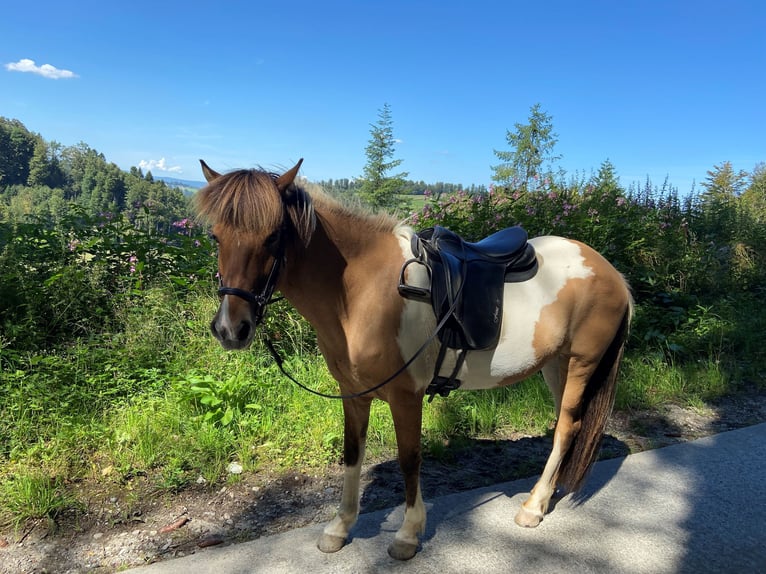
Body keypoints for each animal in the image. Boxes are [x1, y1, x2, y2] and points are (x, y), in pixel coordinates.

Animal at [194, 159, 633, 561]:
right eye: (216, 236)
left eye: (273, 237)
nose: (231, 329)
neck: (361, 288)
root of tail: (612, 273)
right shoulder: (353, 394)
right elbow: (352, 455)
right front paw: (340, 527)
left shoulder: (406, 396)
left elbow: (409, 460)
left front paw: (408, 535)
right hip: (555, 366)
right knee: (565, 424)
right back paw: (547, 492)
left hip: (580, 363)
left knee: (568, 427)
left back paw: (533, 507)